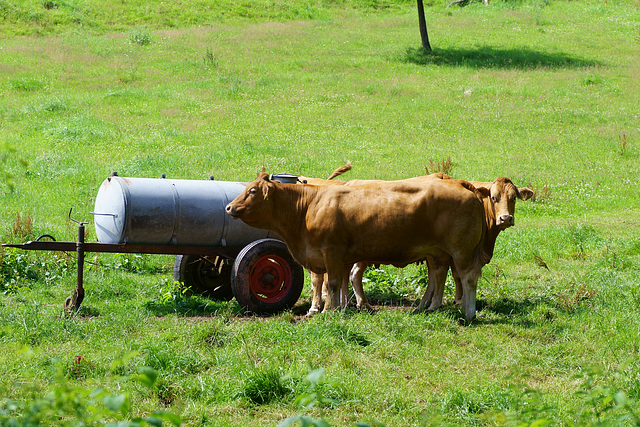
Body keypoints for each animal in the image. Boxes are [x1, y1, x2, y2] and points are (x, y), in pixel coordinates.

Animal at [228, 172, 488, 322]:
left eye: (252, 191)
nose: (229, 207)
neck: (309, 206)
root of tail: (464, 186)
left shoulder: (331, 251)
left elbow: (332, 283)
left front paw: (328, 311)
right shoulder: (334, 255)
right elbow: (336, 282)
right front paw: (338, 308)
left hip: (461, 251)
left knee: (468, 278)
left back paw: (468, 312)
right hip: (439, 253)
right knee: (440, 274)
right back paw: (431, 307)